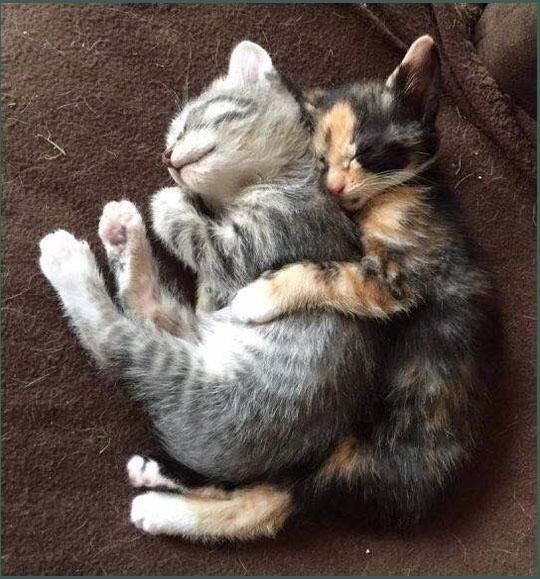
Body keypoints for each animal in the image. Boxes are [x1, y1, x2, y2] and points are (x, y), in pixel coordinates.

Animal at [38, 43, 378, 540]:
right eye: (172, 134)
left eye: (191, 121)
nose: (166, 155)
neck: (288, 178)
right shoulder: (216, 294)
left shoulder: (258, 246)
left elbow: (197, 235)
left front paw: (166, 202)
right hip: (203, 335)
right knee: (148, 308)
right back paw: (122, 232)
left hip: (196, 382)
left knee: (111, 337)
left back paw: (68, 259)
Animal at [230, 34, 492, 528]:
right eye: (319, 161)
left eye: (365, 153)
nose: (333, 188)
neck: (398, 193)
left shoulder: (400, 277)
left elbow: (328, 271)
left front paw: (258, 295)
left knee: (275, 495)